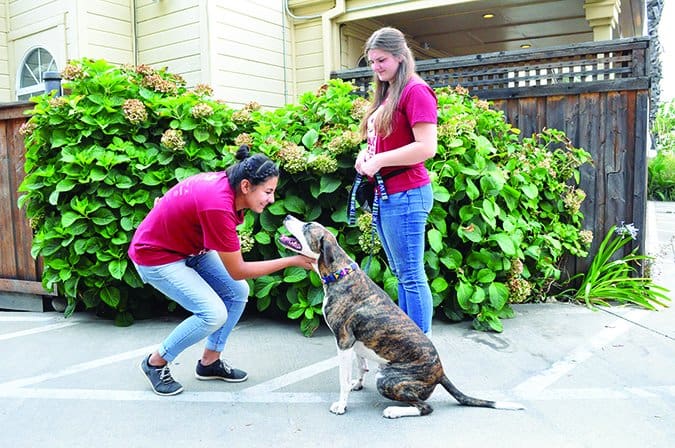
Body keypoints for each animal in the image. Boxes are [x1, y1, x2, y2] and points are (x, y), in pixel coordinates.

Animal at [278, 215, 524, 418]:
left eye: (308, 226)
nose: (287, 216)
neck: (339, 273)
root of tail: (440, 372)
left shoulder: (344, 341)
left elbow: (342, 379)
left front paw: (341, 405)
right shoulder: (354, 342)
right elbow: (360, 365)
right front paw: (357, 384)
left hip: (387, 379)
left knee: (425, 407)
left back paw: (393, 411)